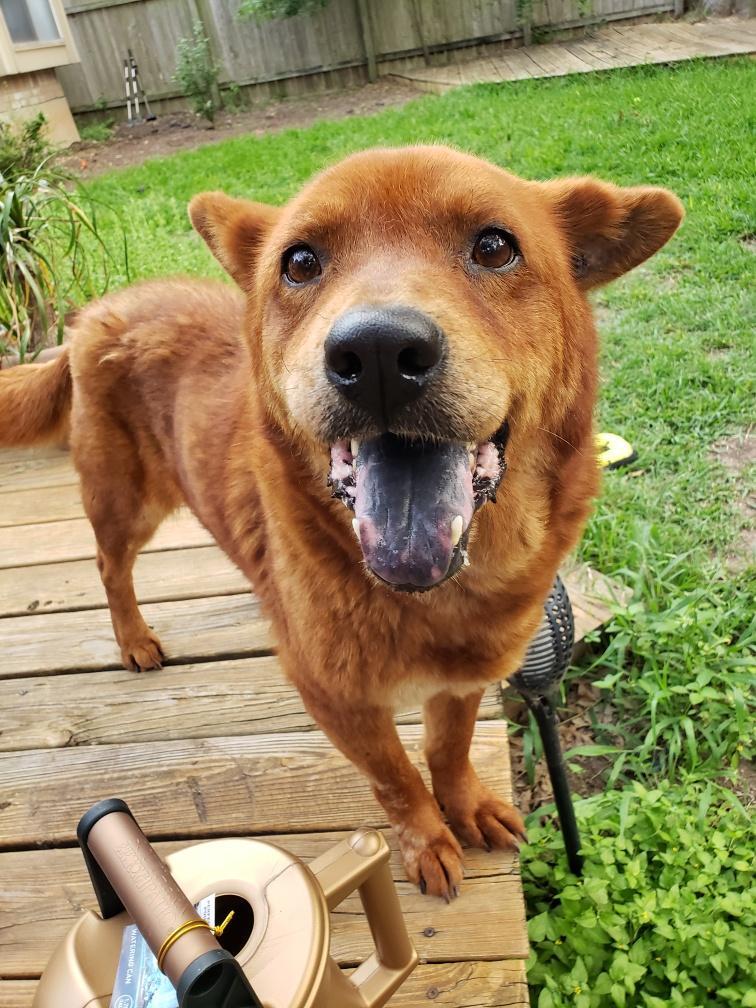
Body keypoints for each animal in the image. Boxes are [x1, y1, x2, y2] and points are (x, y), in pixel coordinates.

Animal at [0, 146, 685, 895]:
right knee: (109, 564)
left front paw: (467, 807)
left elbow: (448, 750)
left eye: (495, 247)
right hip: (125, 498)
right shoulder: (336, 700)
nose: (379, 352)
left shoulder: (467, 678)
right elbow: (396, 777)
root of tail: (100, 308)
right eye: (300, 262)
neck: (432, 599)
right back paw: (132, 637)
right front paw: (426, 840)